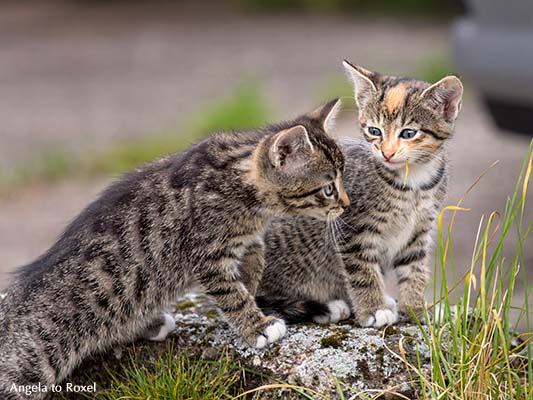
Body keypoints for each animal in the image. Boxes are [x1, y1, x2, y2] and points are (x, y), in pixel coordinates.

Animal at [0, 98, 348, 398]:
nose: (345, 204)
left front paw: (252, 297)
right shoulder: (207, 255)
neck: (241, 183)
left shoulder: (249, 240)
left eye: (343, 179)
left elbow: (255, 264)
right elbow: (231, 293)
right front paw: (256, 325)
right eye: (329, 189)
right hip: (34, 359)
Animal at [256, 60, 462, 328]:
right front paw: (374, 309)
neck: (413, 183)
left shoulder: (419, 231)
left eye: (408, 133)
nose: (387, 153)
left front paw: (417, 309)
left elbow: (415, 269)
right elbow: (362, 270)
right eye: (375, 131)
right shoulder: (352, 228)